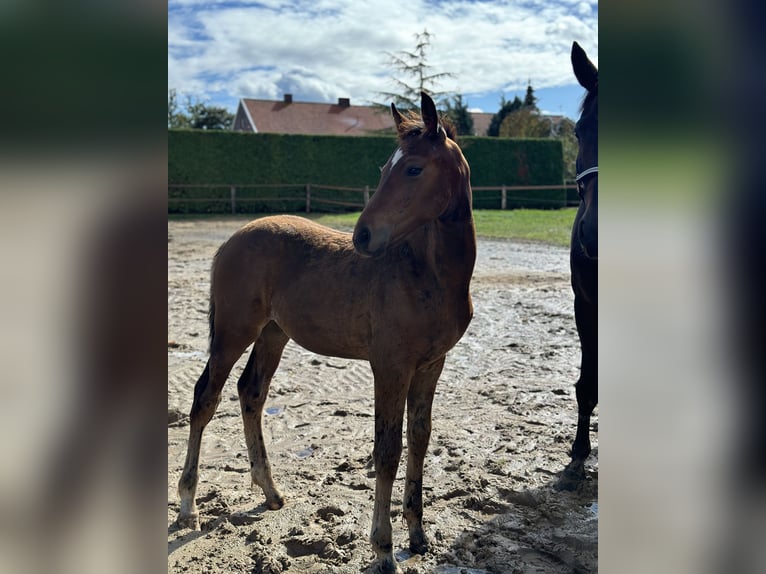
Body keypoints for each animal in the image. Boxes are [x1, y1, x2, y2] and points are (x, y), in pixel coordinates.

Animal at [178, 92, 476, 572]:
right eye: (384, 168)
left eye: (413, 168)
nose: (363, 236)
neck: (426, 274)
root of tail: (231, 240)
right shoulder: (390, 366)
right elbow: (387, 450)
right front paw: (383, 549)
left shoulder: (431, 365)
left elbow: (419, 439)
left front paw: (418, 535)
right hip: (233, 332)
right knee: (206, 398)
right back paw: (188, 505)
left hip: (273, 333)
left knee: (250, 392)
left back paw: (271, 492)